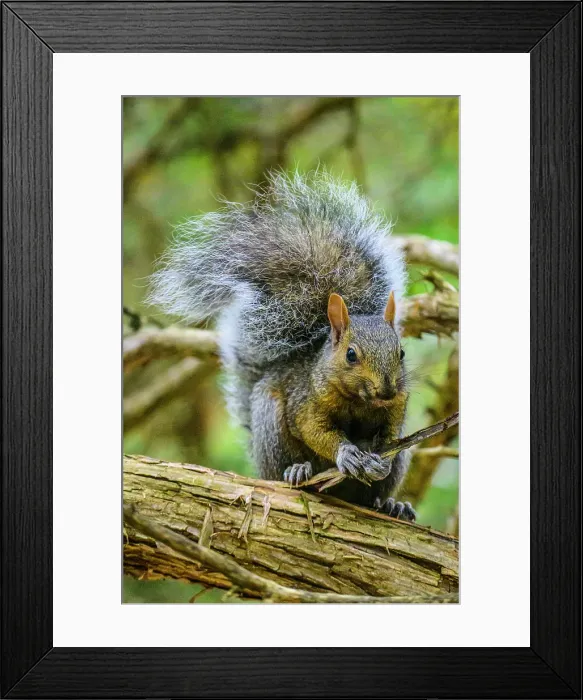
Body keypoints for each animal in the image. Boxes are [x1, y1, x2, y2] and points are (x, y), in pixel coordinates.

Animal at [150, 171, 415, 521]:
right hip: (270, 426)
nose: (385, 390)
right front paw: (346, 453)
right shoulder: (306, 402)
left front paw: (380, 461)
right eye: (350, 355)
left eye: (401, 353)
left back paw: (392, 505)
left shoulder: (397, 408)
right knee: (281, 470)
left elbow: (390, 436)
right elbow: (315, 430)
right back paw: (298, 472)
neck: (361, 401)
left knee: (373, 496)